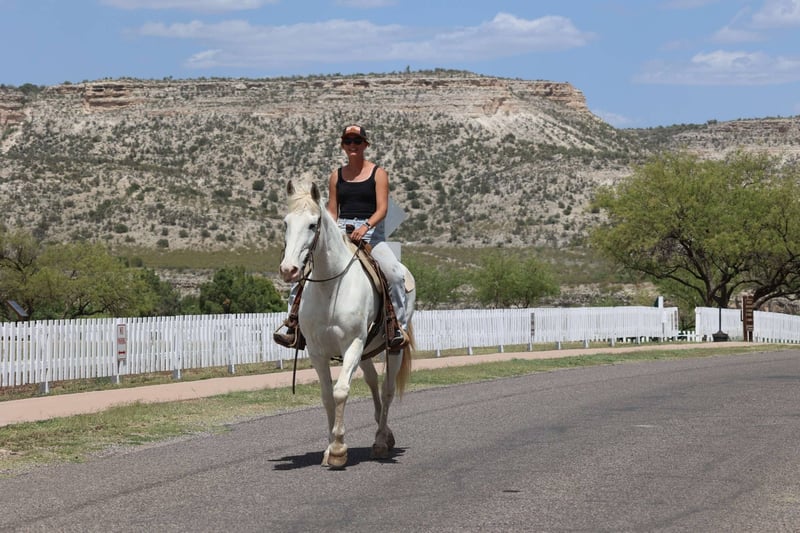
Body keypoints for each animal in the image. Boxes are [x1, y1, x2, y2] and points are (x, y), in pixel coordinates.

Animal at [278, 179, 416, 469]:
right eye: (286, 222)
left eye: (313, 224)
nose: (289, 270)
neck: (330, 286)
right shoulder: (317, 351)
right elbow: (327, 397)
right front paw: (329, 448)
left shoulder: (352, 343)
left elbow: (341, 391)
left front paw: (339, 449)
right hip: (366, 351)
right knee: (373, 382)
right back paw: (386, 435)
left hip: (391, 348)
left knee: (387, 390)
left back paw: (380, 442)